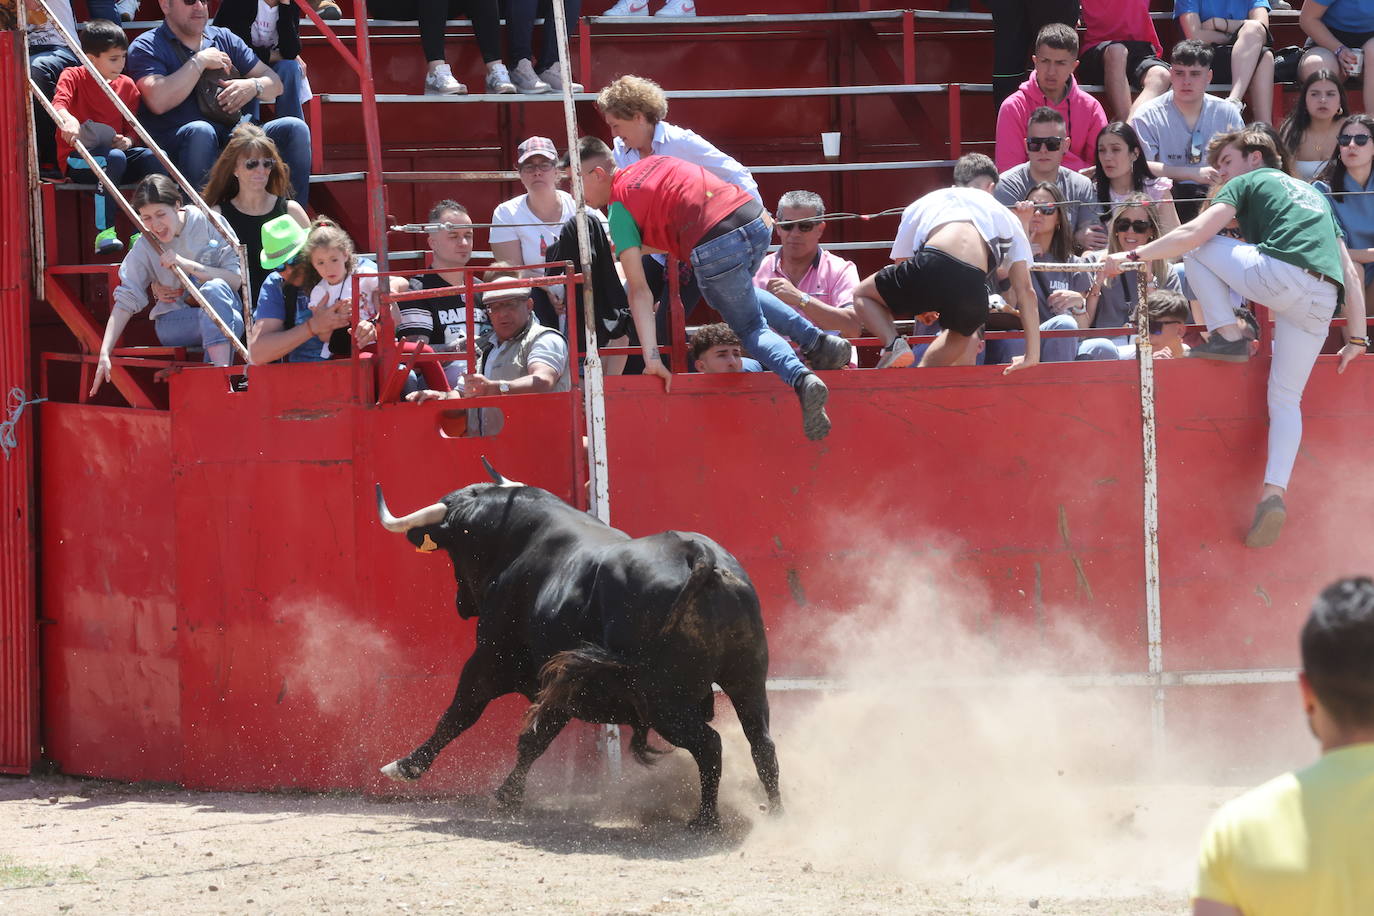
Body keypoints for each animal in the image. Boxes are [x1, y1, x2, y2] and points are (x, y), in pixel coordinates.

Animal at [376, 466, 785, 829]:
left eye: (456, 549)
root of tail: (699, 555)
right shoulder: (561, 686)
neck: (519, 542)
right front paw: (508, 796)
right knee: (761, 744)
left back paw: (705, 820)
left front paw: (406, 766)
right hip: (748, 680)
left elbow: (461, 712)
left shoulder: (490, 660)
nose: (462, 605)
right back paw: (776, 814)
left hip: (663, 701)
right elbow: (534, 739)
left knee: (710, 744)